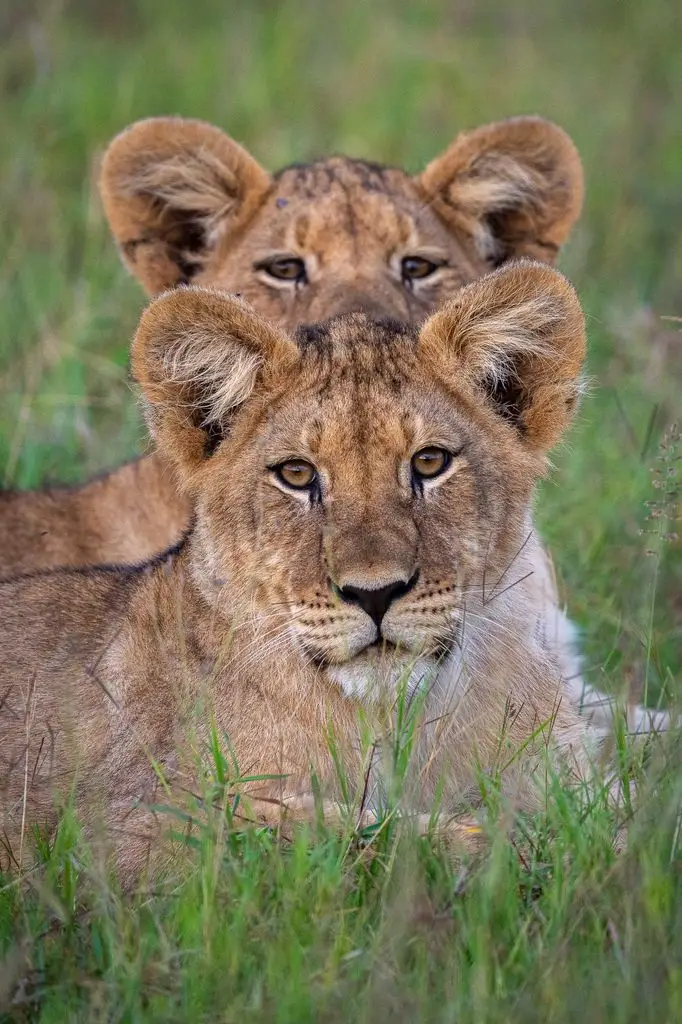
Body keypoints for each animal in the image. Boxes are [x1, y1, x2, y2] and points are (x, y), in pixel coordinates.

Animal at [0, 261, 599, 884]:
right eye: (296, 474)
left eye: (430, 462)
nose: (376, 594)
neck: (395, 727)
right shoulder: (117, 830)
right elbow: (340, 834)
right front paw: (525, 849)